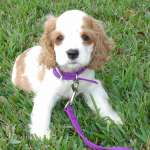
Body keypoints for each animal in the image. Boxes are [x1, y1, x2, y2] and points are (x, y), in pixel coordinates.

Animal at [11, 9, 122, 139]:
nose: (72, 53)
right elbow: (42, 116)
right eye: (59, 38)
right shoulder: (46, 95)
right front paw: (42, 135)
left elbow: (102, 104)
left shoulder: (93, 87)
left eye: (86, 37)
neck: (71, 75)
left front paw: (113, 119)